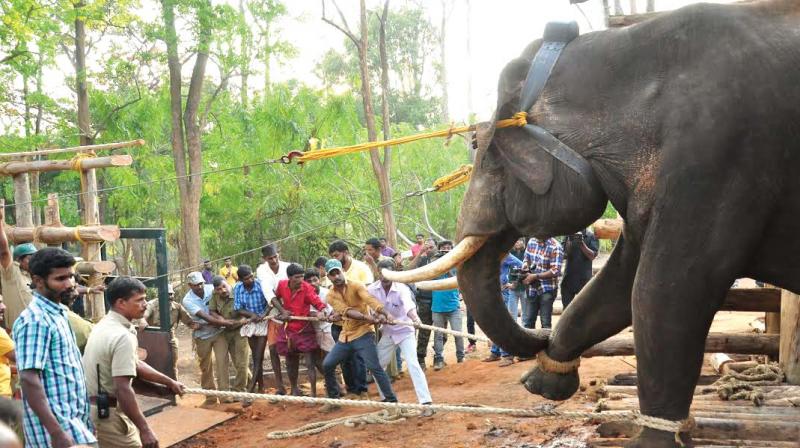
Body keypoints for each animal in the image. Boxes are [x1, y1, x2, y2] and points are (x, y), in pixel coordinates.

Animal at [386, 1, 800, 446]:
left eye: (483, 148)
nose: (540, 336)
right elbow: (616, 286)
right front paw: (545, 381)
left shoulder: (716, 157)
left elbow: (664, 293)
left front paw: (648, 441)